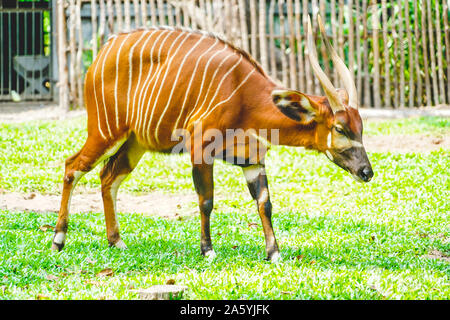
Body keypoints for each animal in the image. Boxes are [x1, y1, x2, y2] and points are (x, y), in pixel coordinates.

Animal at [51, 15, 372, 262]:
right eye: (339, 128)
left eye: (360, 126)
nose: (366, 172)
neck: (247, 98)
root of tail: (101, 54)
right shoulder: (200, 149)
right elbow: (206, 199)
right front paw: (207, 250)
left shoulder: (253, 160)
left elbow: (264, 203)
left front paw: (274, 253)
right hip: (105, 132)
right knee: (72, 167)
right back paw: (58, 240)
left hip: (133, 143)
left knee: (108, 177)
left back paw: (116, 241)